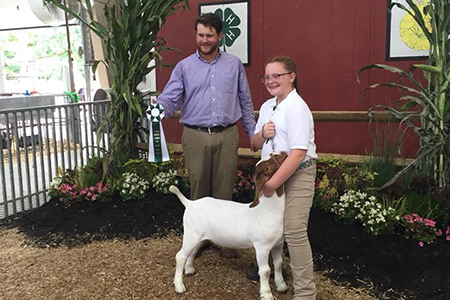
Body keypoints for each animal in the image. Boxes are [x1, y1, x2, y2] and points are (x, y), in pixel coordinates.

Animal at [169, 151, 288, 298]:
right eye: (267, 168)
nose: (284, 153)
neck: (268, 209)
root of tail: (190, 203)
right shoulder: (262, 246)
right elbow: (265, 271)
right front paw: (266, 294)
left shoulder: (278, 244)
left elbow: (278, 263)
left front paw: (281, 285)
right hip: (191, 234)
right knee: (180, 256)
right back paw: (179, 286)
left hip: (199, 236)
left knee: (193, 250)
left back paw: (190, 269)